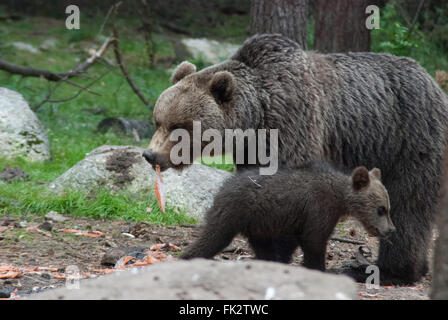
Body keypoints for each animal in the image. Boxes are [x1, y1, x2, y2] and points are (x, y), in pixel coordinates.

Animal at [144, 34, 448, 284]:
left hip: (408, 139)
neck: (255, 117)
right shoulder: (251, 147)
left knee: (410, 204)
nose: (150, 155)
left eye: (179, 126)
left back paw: (391, 270)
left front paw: (279, 252)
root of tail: (434, 83)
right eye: (158, 120)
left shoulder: (291, 122)